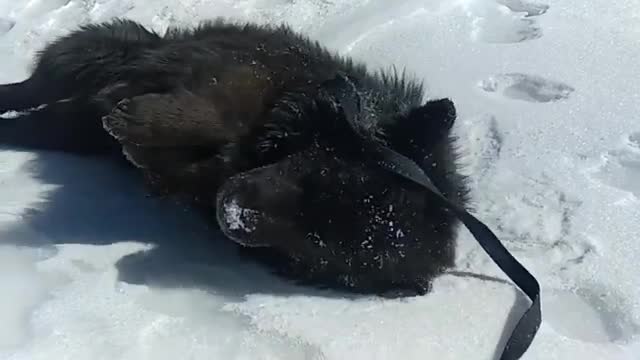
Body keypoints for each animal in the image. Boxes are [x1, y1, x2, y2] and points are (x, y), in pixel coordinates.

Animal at [0, 18, 470, 296]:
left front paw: (144, 148)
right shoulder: (243, 73)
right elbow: (216, 111)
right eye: (318, 172)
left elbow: (176, 167)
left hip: (64, 127)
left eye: (316, 244)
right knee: (29, 89)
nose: (230, 214)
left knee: (32, 123)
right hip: (95, 53)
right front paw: (138, 123)